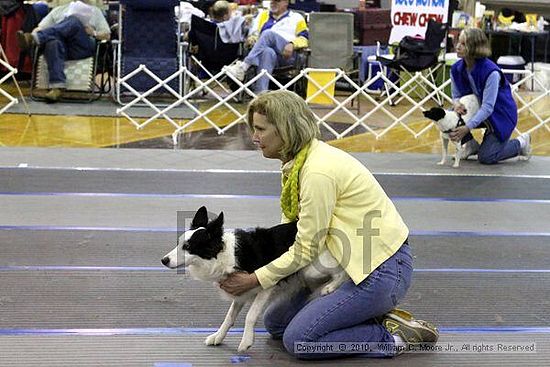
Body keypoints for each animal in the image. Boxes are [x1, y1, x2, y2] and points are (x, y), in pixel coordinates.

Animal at [162, 207, 350, 354]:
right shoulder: (239, 292)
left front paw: (246, 341)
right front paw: (218, 336)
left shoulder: (265, 287)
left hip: (312, 269)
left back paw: (330, 287)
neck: (225, 255)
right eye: (178, 243)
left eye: (188, 247)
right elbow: (229, 317)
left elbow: (250, 316)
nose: (163, 260)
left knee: (343, 273)